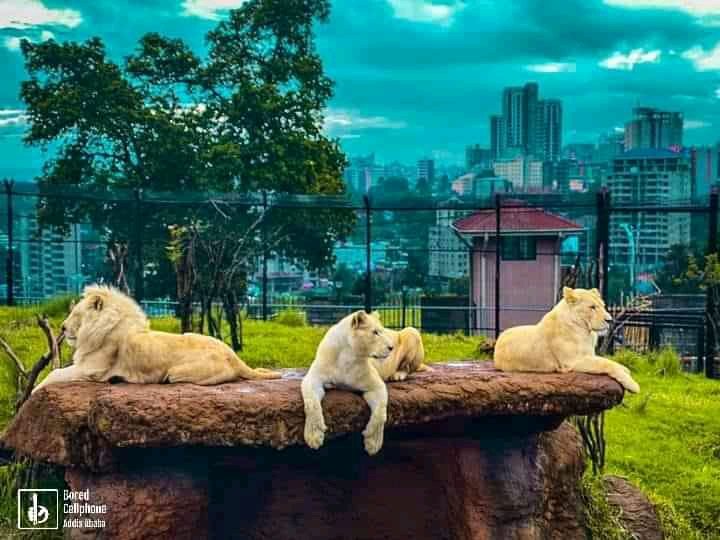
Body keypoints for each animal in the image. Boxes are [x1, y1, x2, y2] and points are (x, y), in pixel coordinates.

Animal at [32, 285, 280, 393]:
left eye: (76, 314)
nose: (62, 327)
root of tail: (234, 357)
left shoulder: (92, 370)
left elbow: (54, 373)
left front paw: (33, 392)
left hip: (177, 373)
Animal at [301, 310, 394, 455]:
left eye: (383, 331)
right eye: (375, 332)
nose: (391, 347)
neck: (348, 356)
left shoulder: (376, 385)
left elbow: (381, 413)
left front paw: (372, 442)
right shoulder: (313, 378)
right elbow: (312, 404)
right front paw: (314, 436)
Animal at [493, 287, 639, 393]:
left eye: (603, 305)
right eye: (592, 307)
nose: (609, 320)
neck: (586, 332)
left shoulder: (588, 355)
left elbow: (608, 361)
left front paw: (626, 370)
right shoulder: (572, 362)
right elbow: (605, 364)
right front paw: (632, 384)